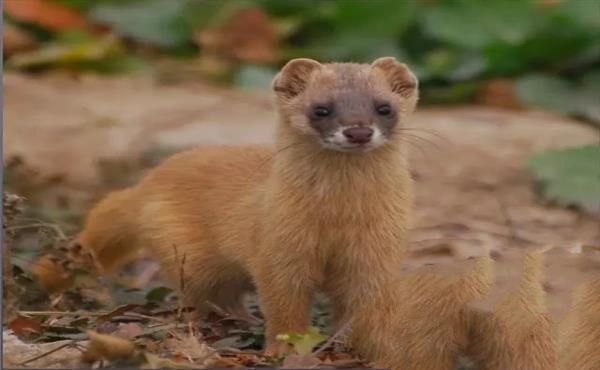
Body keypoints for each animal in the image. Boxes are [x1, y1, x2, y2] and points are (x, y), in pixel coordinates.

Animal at [75, 57, 420, 356]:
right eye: (321, 109)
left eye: (384, 107)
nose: (358, 131)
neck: (339, 218)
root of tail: (147, 182)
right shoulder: (278, 246)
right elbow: (283, 303)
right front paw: (285, 348)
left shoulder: (375, 252)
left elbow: (362, 306)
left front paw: (362, 345)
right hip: (189, 257)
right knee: (205, 295)